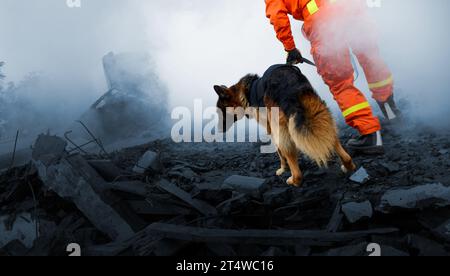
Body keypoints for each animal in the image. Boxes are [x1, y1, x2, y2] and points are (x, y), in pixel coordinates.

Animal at [213, 64, 356, 188]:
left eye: (220, 111)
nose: (218, 130)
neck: (244, 94)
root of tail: (289, 84)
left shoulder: (271, 129)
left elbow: (279, 153)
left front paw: (283, 168)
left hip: (281, 127)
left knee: (296, 171)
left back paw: (293, 180)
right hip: (319, 113)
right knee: (338, 146)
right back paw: (348, 166)